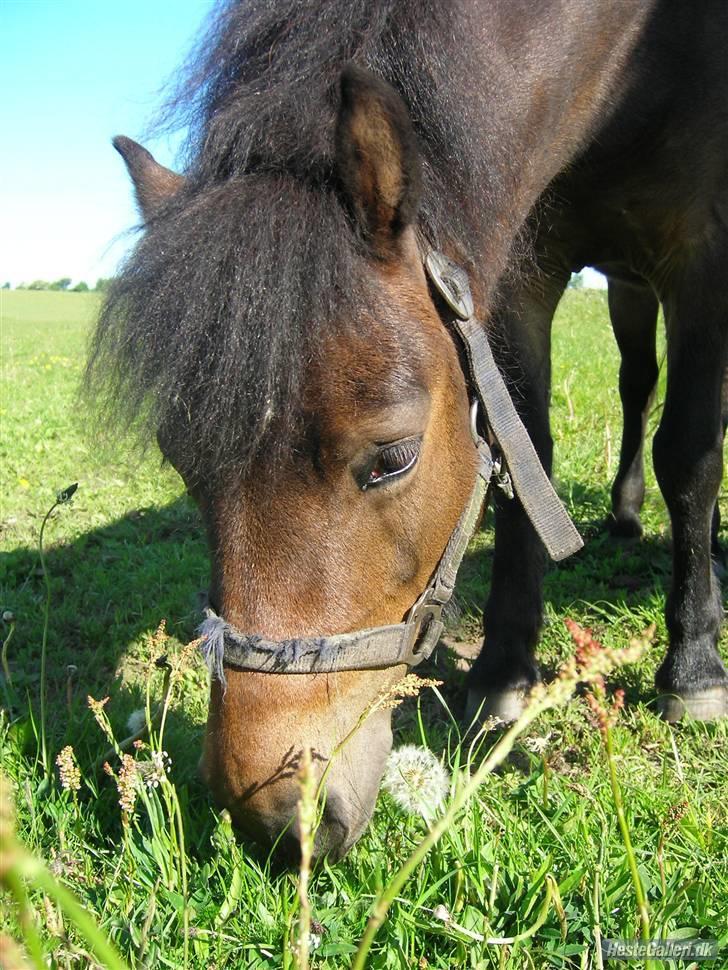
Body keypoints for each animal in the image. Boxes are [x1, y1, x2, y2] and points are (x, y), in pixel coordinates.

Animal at [88, 0, 683, 860]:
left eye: (393, 458)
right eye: (184, 467)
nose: (275, 819)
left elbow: (692, 453)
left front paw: (695, 674)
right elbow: (521, 442)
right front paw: (503, 682)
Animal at [469, 0, 728, 726]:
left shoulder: (705, 254)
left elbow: (692, 453)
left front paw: (694, 666)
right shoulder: (520, 269)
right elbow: (524, 450)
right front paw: (501, 669)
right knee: (637, 384)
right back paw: (631, 517)